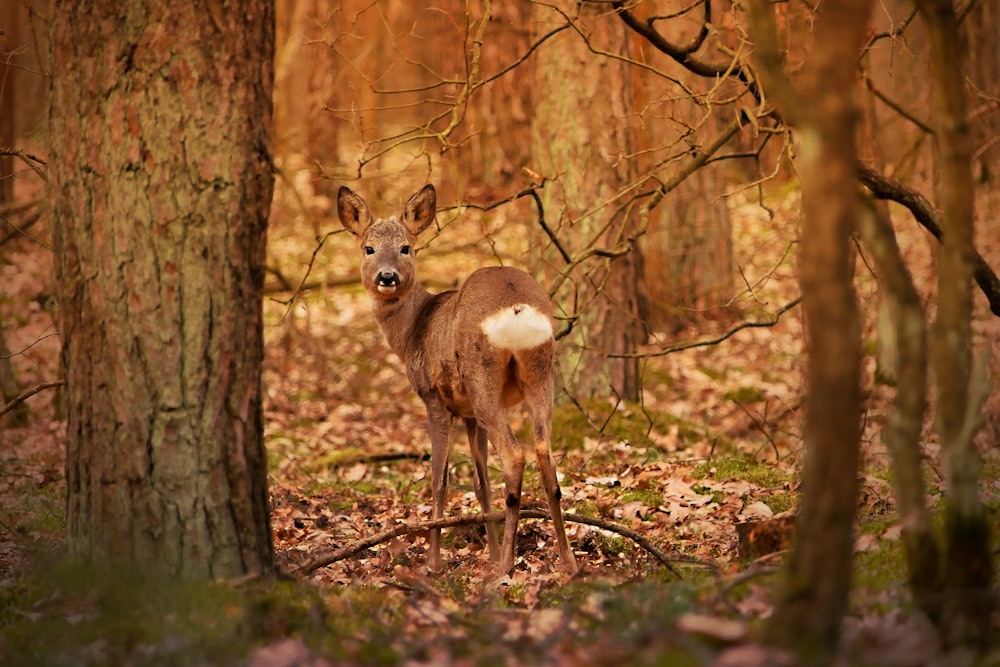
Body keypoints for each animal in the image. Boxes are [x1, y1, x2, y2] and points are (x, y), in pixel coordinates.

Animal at [338, 185, 580, 576]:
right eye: (368, 248)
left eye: (406, 247)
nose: (387, 277)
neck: (414, 330)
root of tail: (517, 307)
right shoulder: (467, 414)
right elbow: (481, 484)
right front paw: (490, 552)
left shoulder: (435, 398)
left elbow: (439, 479)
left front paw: (433, 563)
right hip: (541, 371)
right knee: (545, 454)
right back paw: (566, 561)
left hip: (483, 377)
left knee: (515, 455)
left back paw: (506, 567)